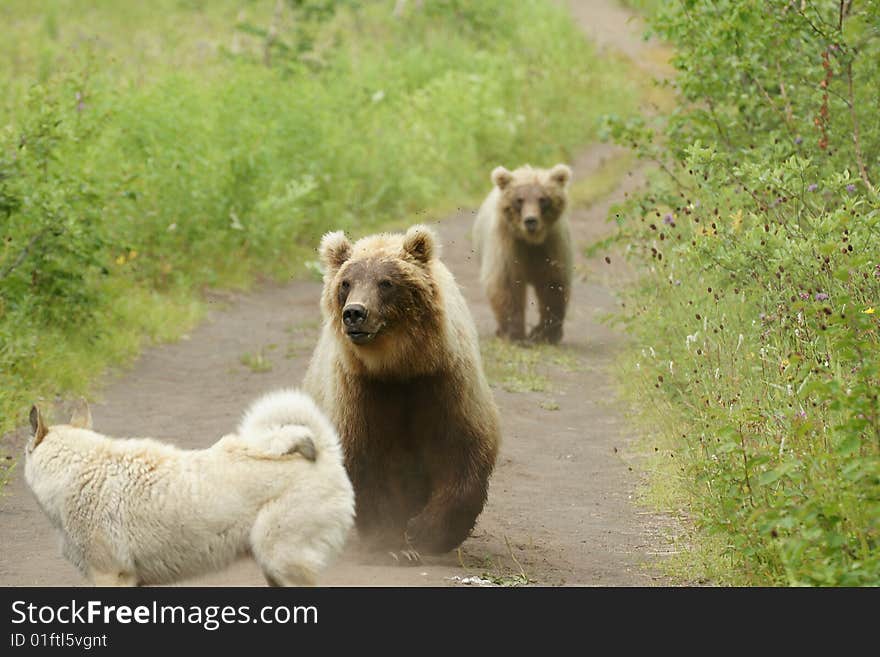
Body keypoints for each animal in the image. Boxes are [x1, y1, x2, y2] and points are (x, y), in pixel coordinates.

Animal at [302, 224, 498, 560]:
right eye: (346, 283)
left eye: (386, 282)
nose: (355, 313)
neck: (398, 367)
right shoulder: (361, 392)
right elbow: (366, 462)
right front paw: (393, 544)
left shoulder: (444, 384)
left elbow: (463, 452)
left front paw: (425, 532)